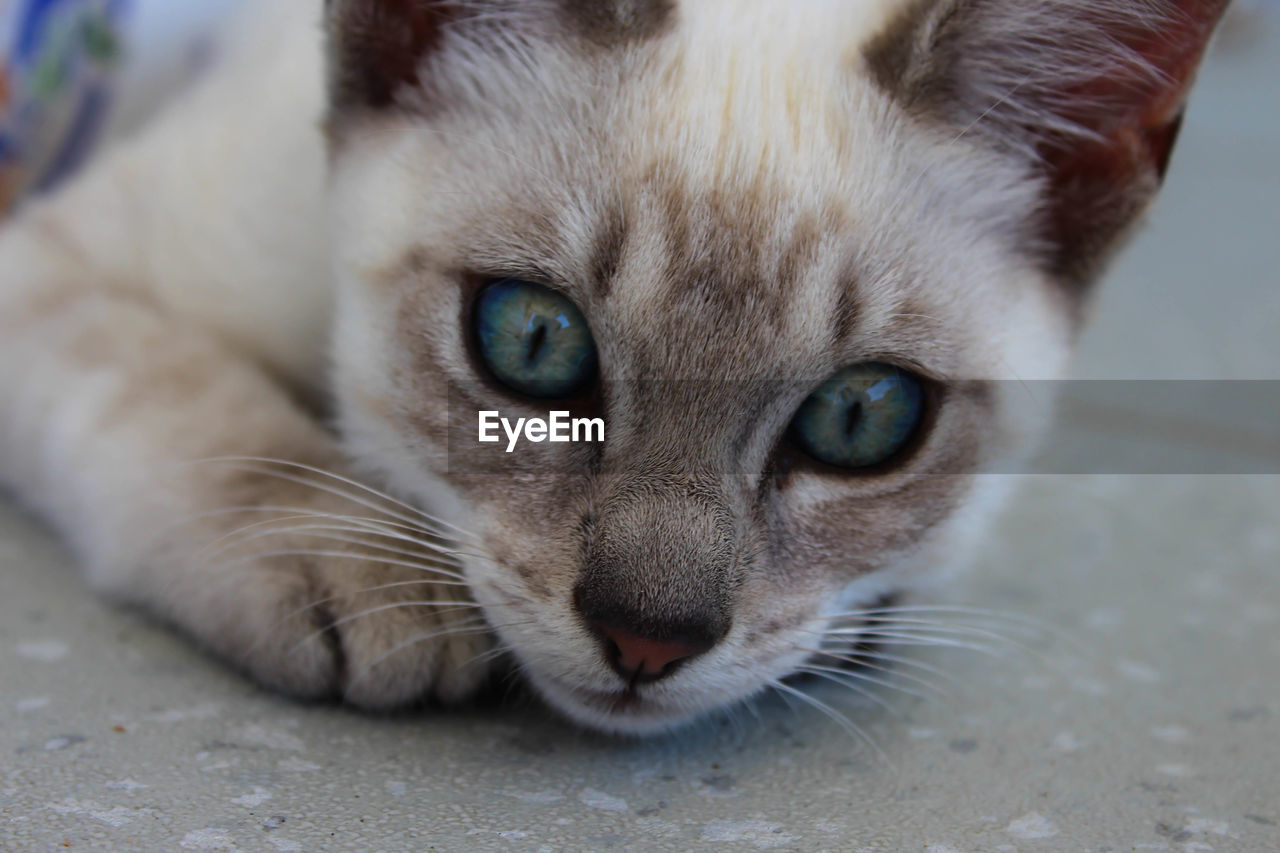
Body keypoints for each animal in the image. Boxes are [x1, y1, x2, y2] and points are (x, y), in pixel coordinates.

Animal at [0, 0, 1223, 732]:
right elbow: (203, 415)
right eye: (534, 342)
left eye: (860, 417)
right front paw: (371, 578)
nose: (648, 638)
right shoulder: (52, 264)